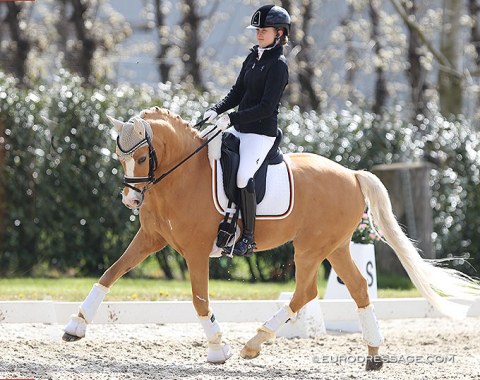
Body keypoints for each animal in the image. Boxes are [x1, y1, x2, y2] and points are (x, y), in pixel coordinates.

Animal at [64, 105, 480, 370]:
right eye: (119, 157)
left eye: (141, 157)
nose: (131, 199)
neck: (181, 175)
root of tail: (351, 173)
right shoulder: (151, 239)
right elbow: (109, 274)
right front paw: (75, 327)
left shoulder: (196, 251)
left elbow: (199, 301)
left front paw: (218, 348)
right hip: (335, 246)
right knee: (358, 288)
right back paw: (373, 354)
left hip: (311, 247)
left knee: (305, 292)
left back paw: (253, 344)